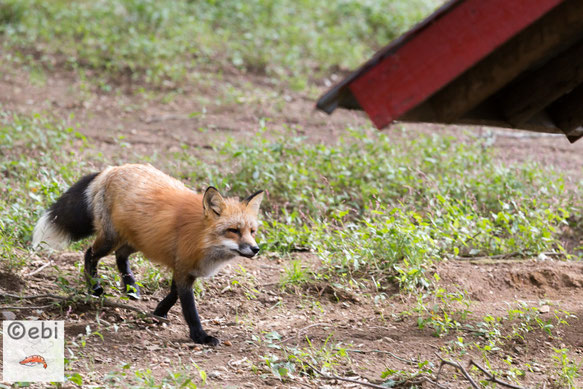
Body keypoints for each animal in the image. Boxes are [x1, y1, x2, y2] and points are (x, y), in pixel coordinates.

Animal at [33, 162, 266, 344]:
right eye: (233, 230)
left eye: (252, 231)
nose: (255, 249)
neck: (201, 237)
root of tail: (113, 169)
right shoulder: (184, 268)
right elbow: (189, 308)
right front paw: (200, 336)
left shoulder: (184, 267)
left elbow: (173, 294)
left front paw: (159, 311)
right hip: (112, 239)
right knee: (89, 253)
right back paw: (95, 287)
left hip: (140, 240)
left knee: (121, 256)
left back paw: (131, 288)